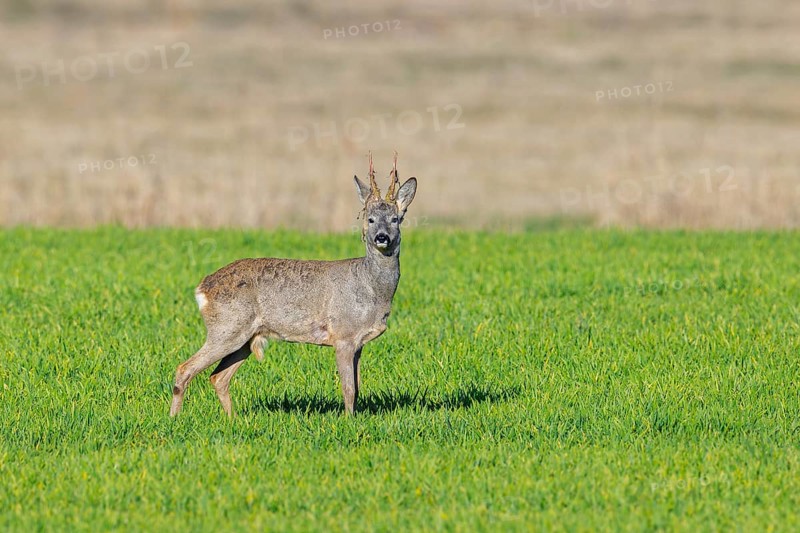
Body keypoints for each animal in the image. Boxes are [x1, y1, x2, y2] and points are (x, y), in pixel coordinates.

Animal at [169, 152, 417, 417]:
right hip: (226, 328)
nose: (382, 237)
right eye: (370, 219)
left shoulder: (358, 342)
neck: (371, 289)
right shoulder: (343, 335)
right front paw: (348, 420)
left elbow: (358, 387)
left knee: (218, 377)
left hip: (245, 338)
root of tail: (202, 288)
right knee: (185, 368)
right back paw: (175, 419)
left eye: (395, 219)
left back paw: (232, 420)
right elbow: (348, 388)